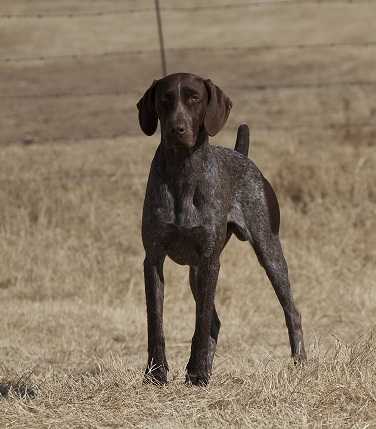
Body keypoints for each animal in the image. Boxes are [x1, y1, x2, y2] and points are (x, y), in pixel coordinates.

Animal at [137, 72, 306, 384]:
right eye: (165, 99)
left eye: (194, 98)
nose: (177, 129)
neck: (183, 172)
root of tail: (243, 156)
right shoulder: (153, 259)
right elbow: (156, 321)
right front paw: (156, 374)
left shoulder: (209, 261)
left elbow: (201, 320)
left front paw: (198, 373)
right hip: (195, 273)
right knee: (215, 322)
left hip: (269, 251)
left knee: (292, 311)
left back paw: (300, 362)